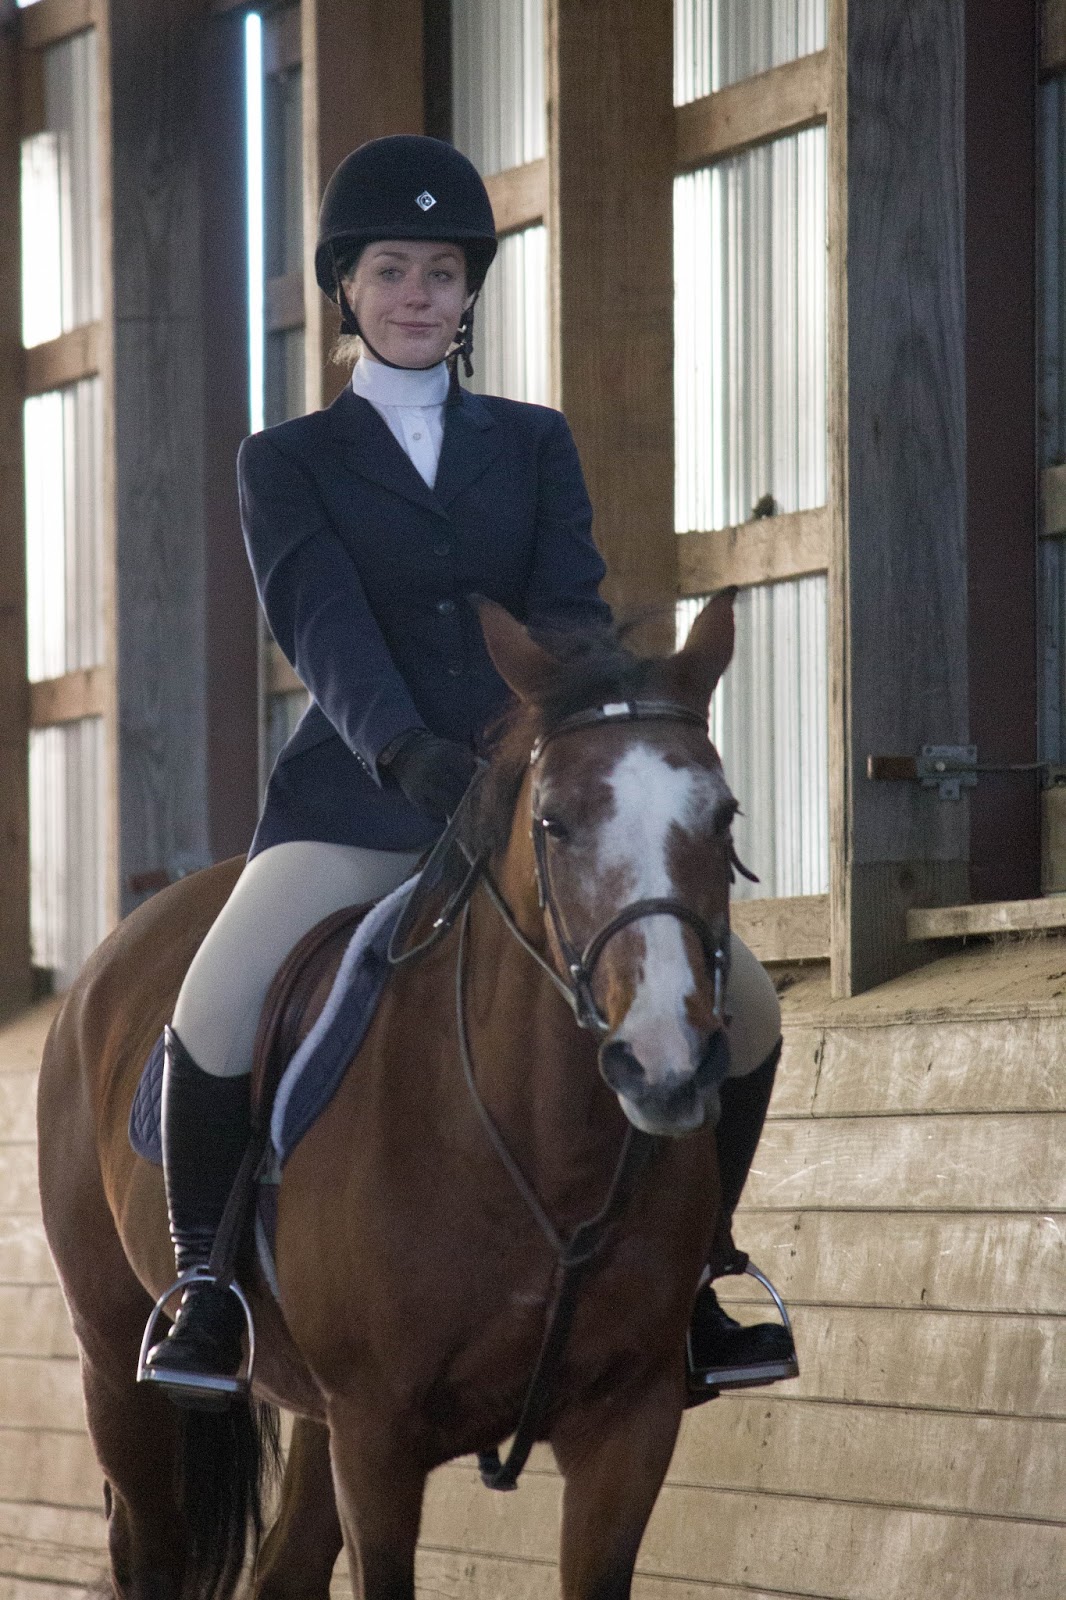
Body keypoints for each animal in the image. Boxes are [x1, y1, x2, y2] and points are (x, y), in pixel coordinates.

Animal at [37, 590, 743, 1600]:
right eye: (555, 822)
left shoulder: (629, 1425)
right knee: (149, 1549)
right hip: (113, 1364)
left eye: (723, 815)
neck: (539, 1148)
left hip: (310, 1408)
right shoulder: (376, 1436)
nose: (665, 1060)